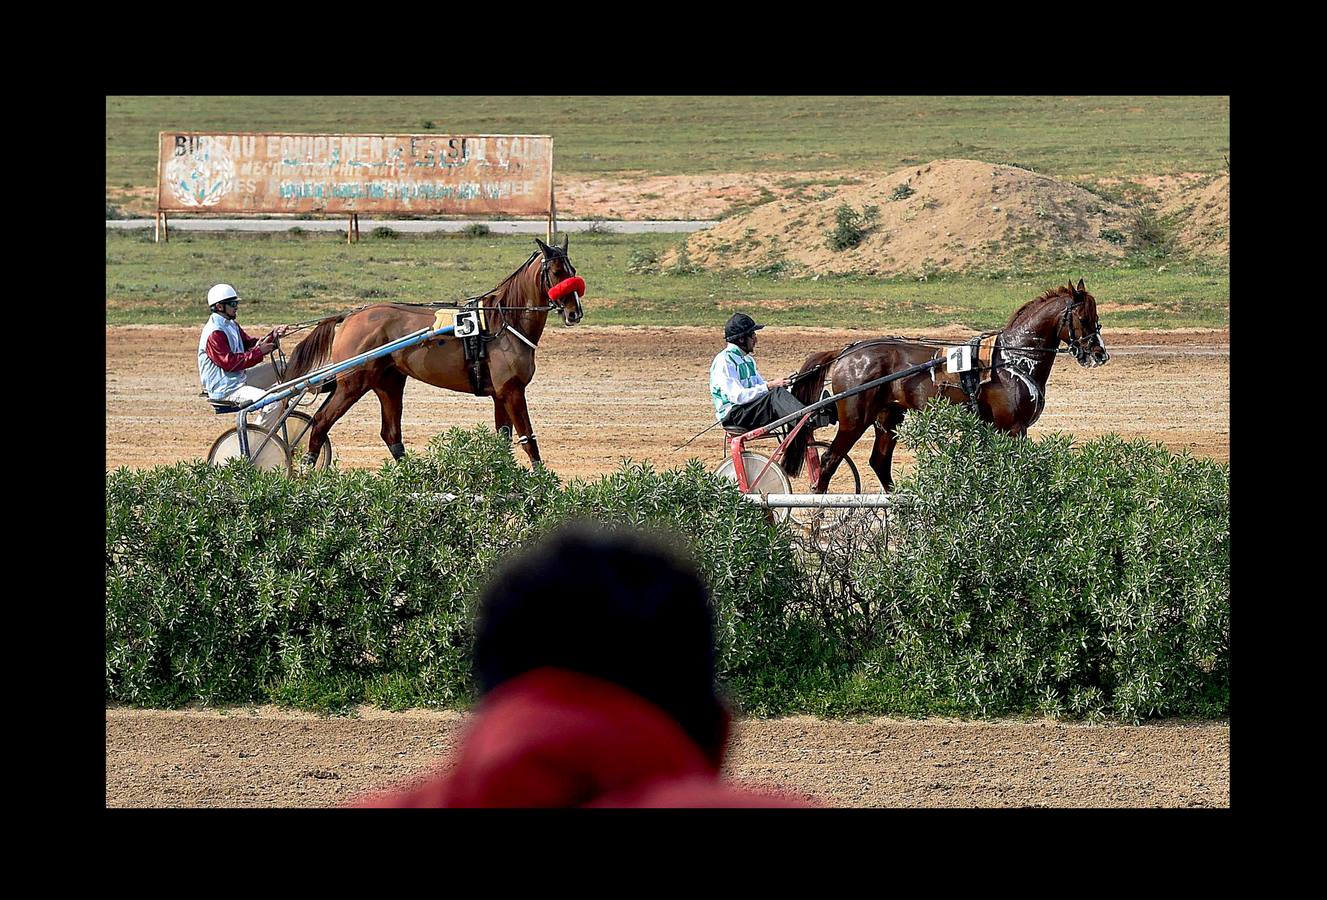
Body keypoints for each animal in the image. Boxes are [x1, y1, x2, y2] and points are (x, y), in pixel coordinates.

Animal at [282, 236, 583, 469]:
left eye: (573, 270)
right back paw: (305, 470)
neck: (503, 322)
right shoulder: (512, 391)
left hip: (388, 383)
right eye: (557, 273)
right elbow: (528, 439)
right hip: (352, 384)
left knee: (391, 434)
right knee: (321, 422)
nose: (575, 313)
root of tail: (350, 316)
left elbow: (503, 442)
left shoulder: (500, 395)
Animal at [785, 280, 1109, 493]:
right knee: (829, 461)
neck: (1012, 358)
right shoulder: (1013, 427)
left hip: (888, 417)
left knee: (879, 462)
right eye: (1083, 318)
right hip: (855, 419)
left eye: (1099, 320)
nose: (1099, 354)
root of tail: (846, 352)